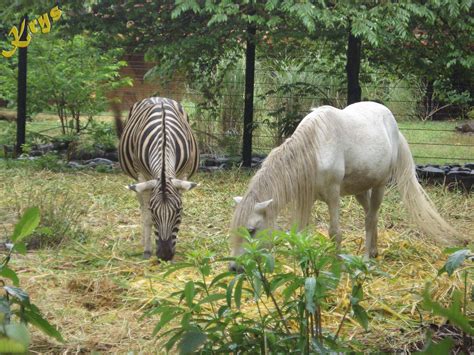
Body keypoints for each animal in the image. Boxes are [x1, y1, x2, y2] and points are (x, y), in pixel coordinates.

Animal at [115, 97, 200, 262]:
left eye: (178, 210)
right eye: (153, 210)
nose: (165, 255)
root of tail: (158, 97)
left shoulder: (182, 175)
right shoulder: (142, 176)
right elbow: (147, 216)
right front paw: (147, 250)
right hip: (139, 182)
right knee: (141, 206)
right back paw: (144, 241)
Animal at [230, 101, 460, 272]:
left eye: (251, 230)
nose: (234, 267)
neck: (315, 148)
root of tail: (393, 125)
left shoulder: (333, 196)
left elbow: (335, 232)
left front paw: (336, 265)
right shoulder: (309, 197)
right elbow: (302, 232)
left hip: (380, 186)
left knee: (370, 218)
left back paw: (366, 257)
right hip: (361, 191)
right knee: (371, 215)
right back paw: (374, 250)